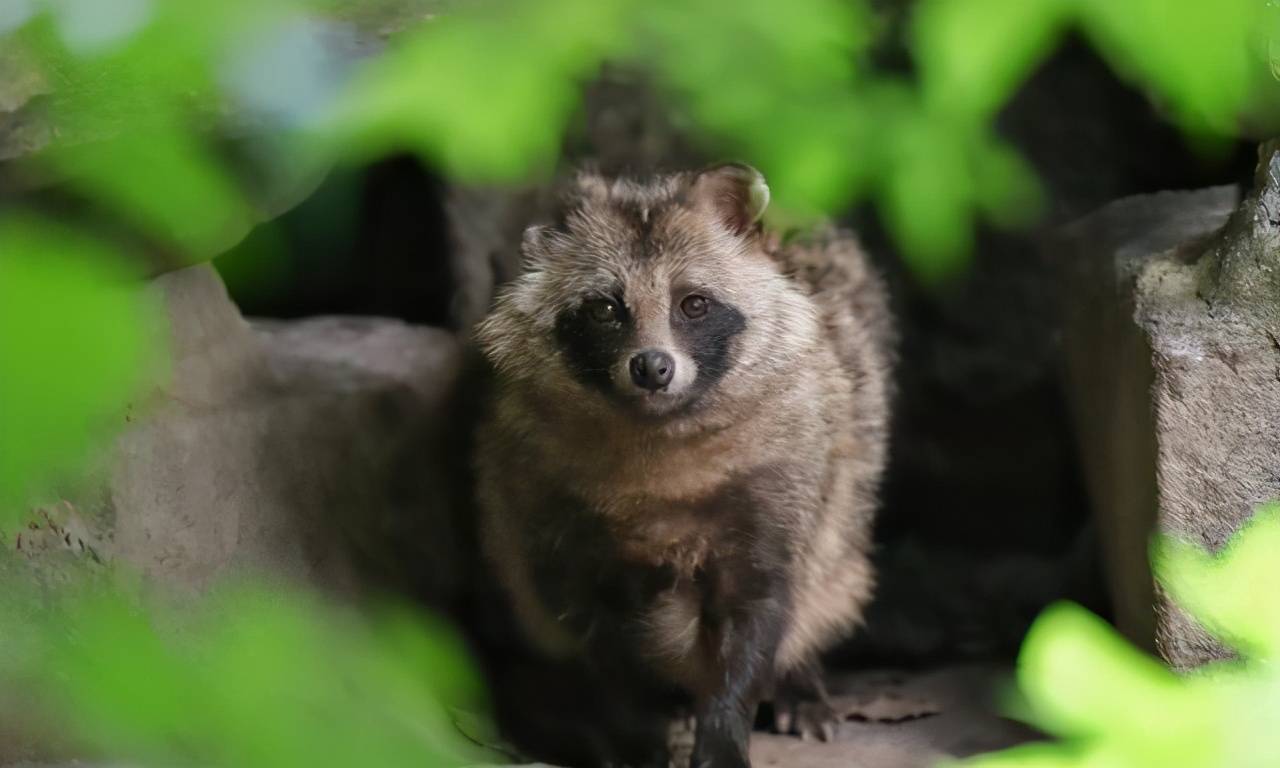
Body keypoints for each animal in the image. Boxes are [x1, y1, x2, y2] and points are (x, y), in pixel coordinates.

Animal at [471, 163, 890, 768]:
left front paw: (724, 732)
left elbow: (758, 614)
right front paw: (636, 739)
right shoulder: (545, 499)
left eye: (693, 304)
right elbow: (595, 641)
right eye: (605, 309)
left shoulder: (779, 482)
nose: (652, 367)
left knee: (831, 577)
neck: (661, 437)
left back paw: (801, 682)